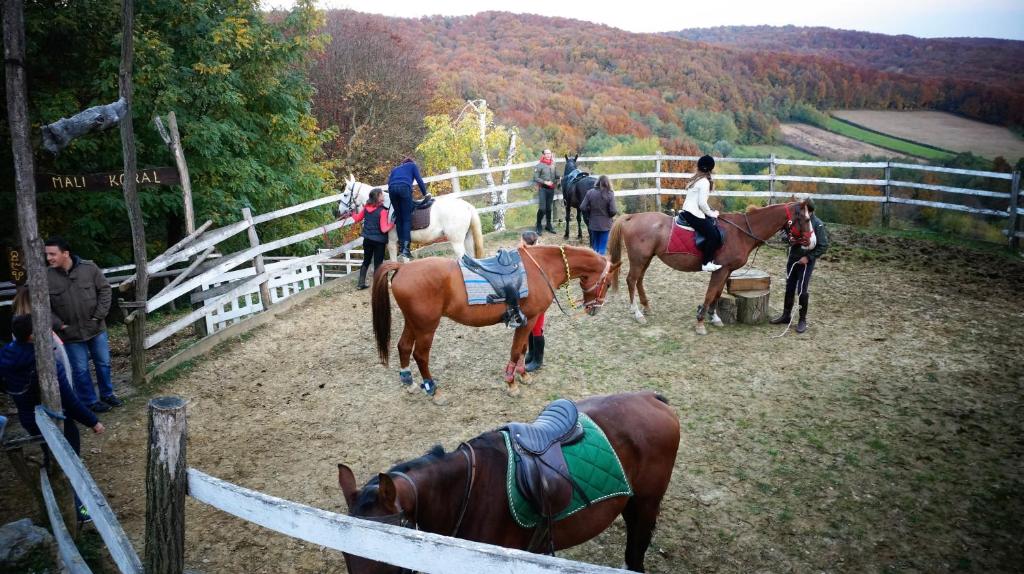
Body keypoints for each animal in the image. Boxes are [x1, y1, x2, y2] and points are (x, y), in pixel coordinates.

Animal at [333, 173, 481, 260]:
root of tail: (467, 206)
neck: (384, 206)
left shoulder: (392, 242)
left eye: (345, 194)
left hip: (456, 241)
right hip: (466, 238)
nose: (339, 211)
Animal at [374, 242, 618, 403]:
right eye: (607, 284)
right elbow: (516, 350)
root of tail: (403, 268)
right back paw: (435, 391)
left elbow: (523, 349)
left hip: (413, 322)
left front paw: (523, 375)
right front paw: (511, 383)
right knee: (420, 355)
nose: (595, 309)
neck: (541, 267)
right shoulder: (528, 319)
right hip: (426, 327)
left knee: (404, 347)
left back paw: (410, 383)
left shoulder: (526, 321)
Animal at [606, 201, 815, 335]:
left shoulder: (726, 270)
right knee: (631, 280)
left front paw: (714, 317)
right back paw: (637, 313)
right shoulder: (720, 270)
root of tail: (631, 217)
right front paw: (700, 322)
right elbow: (710, 293)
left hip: (646, 258)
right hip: (639, 259)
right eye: (805, 220)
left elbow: (717, 293)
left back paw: (646, 307)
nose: (812, 242)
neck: (740, 232)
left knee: (639, 280)